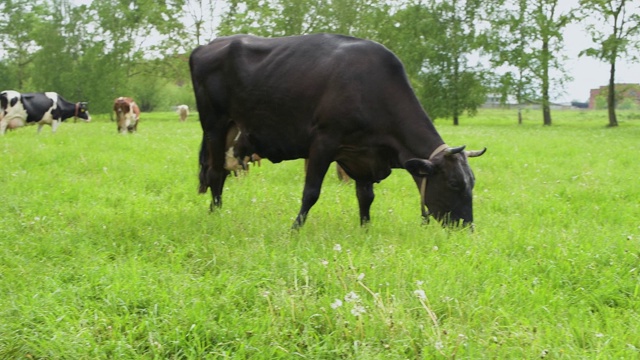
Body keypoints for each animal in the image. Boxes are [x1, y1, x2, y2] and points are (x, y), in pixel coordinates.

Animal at [189, 33, 484, 228]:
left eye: (472, 182)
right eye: (454, 183)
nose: (466, 228)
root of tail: (207, 45)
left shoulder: (364, 154)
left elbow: (366, 196)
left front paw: (365, 229)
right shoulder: (323, 141)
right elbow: (311, 192)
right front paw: (295, 229)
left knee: (222, 172)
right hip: (214, 125)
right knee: (215, 173)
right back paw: (215, 215)